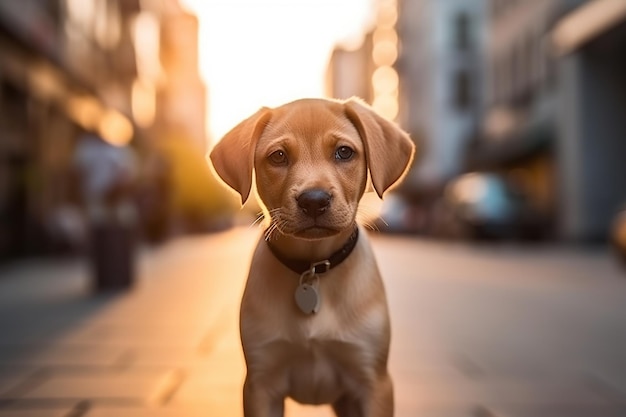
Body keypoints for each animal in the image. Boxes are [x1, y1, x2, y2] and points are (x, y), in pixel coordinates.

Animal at [210, 98, 414, 416]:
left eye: (344, 152)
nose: (314, 201)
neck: (313, 268)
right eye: (278, 156)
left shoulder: (374, 382)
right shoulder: (260, 383)